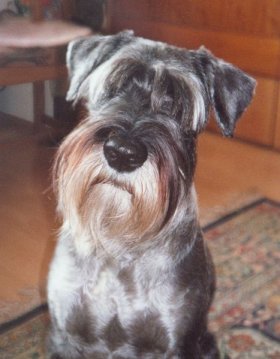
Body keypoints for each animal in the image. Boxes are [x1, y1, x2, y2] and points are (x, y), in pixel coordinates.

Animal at [46, 31, 256, 359]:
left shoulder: (178, 344)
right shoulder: (64, 335)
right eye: (114, 87)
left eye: (178, 104)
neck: (119, 244)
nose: (122, 153)